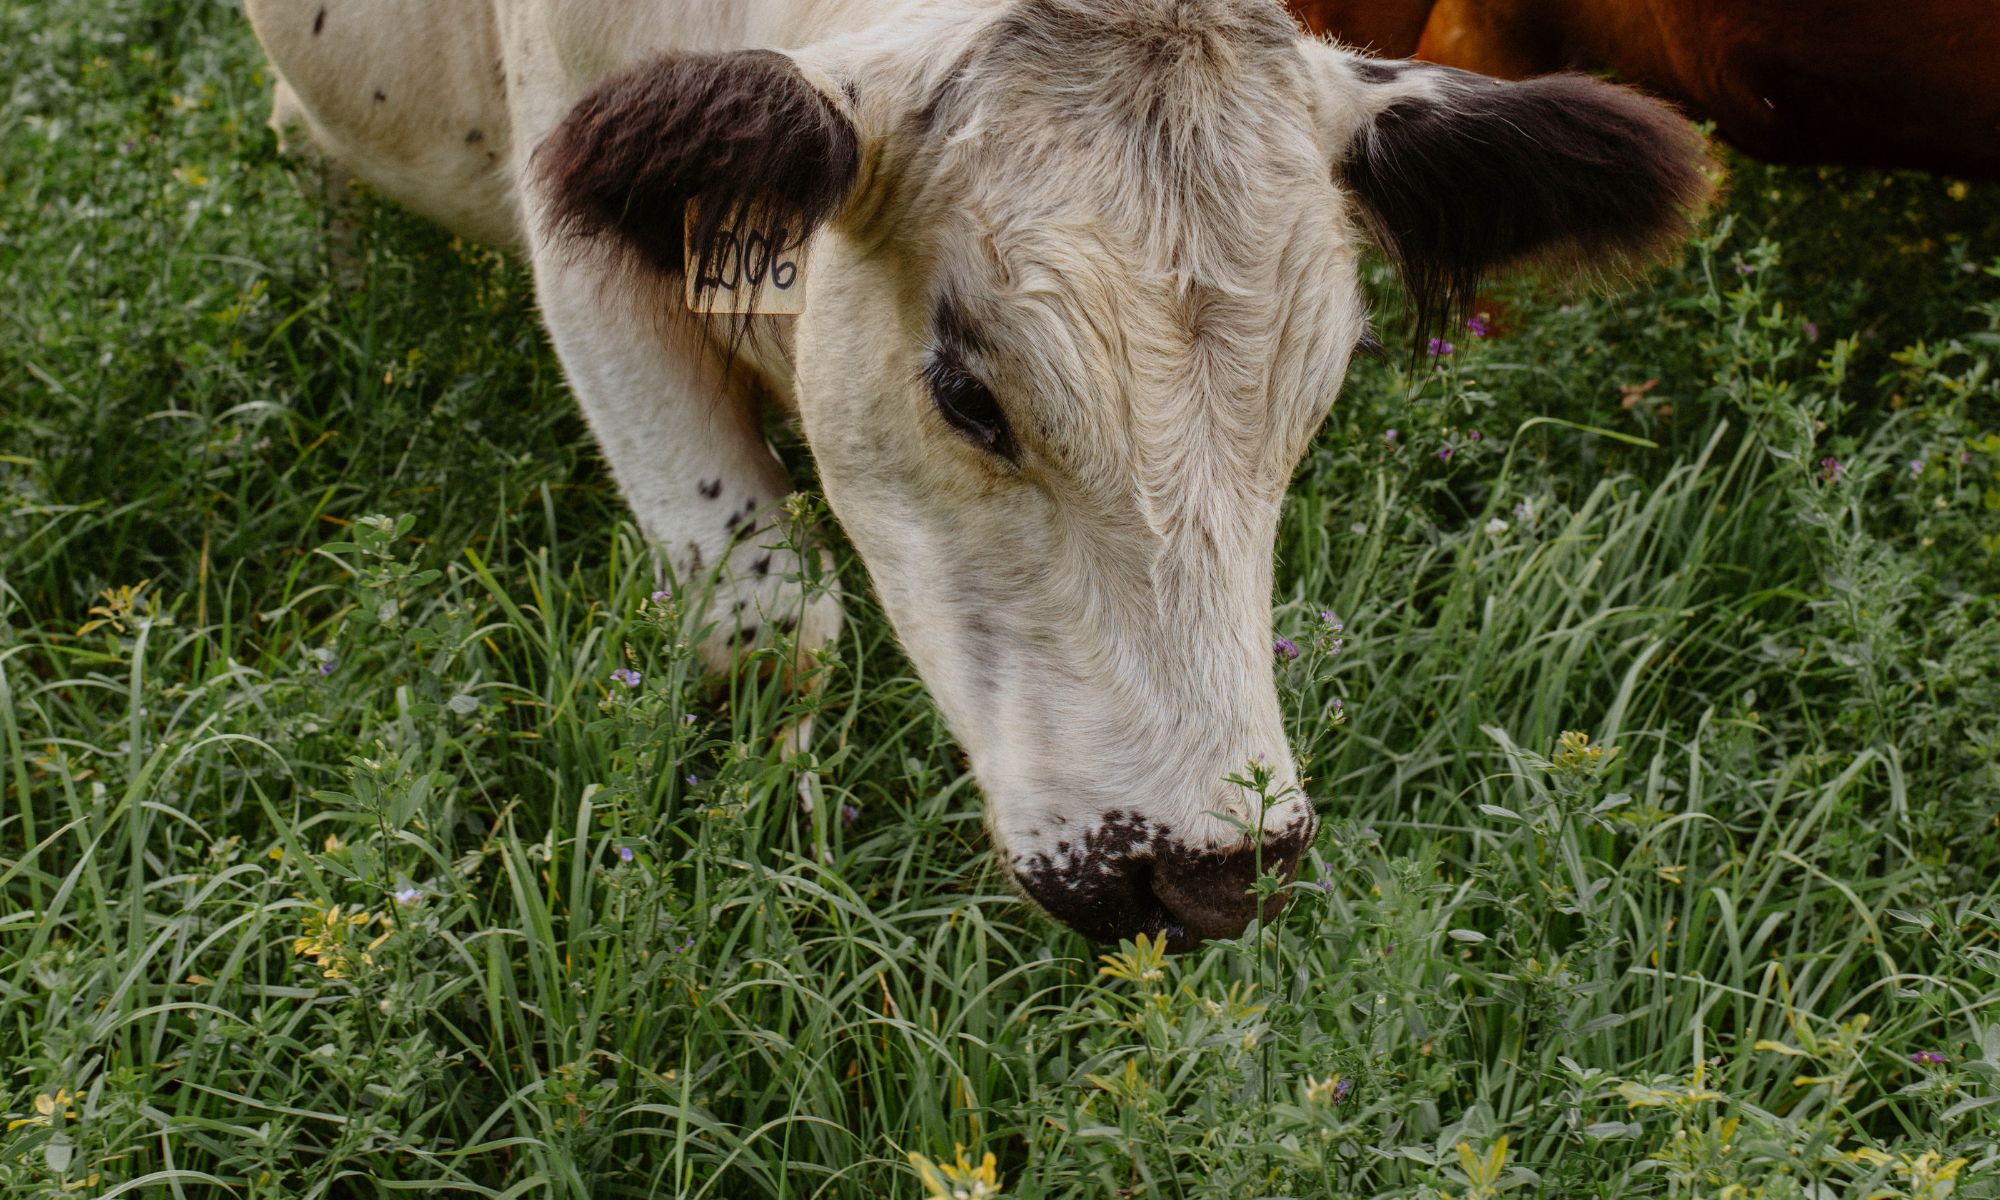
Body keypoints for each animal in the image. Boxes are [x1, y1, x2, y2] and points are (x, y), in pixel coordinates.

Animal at [245, 0, 1713, 949]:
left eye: (1321, 391)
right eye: (967, 395)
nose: (1208, 869)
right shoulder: (591, 261)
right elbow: (764, 618)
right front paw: (773, 841)